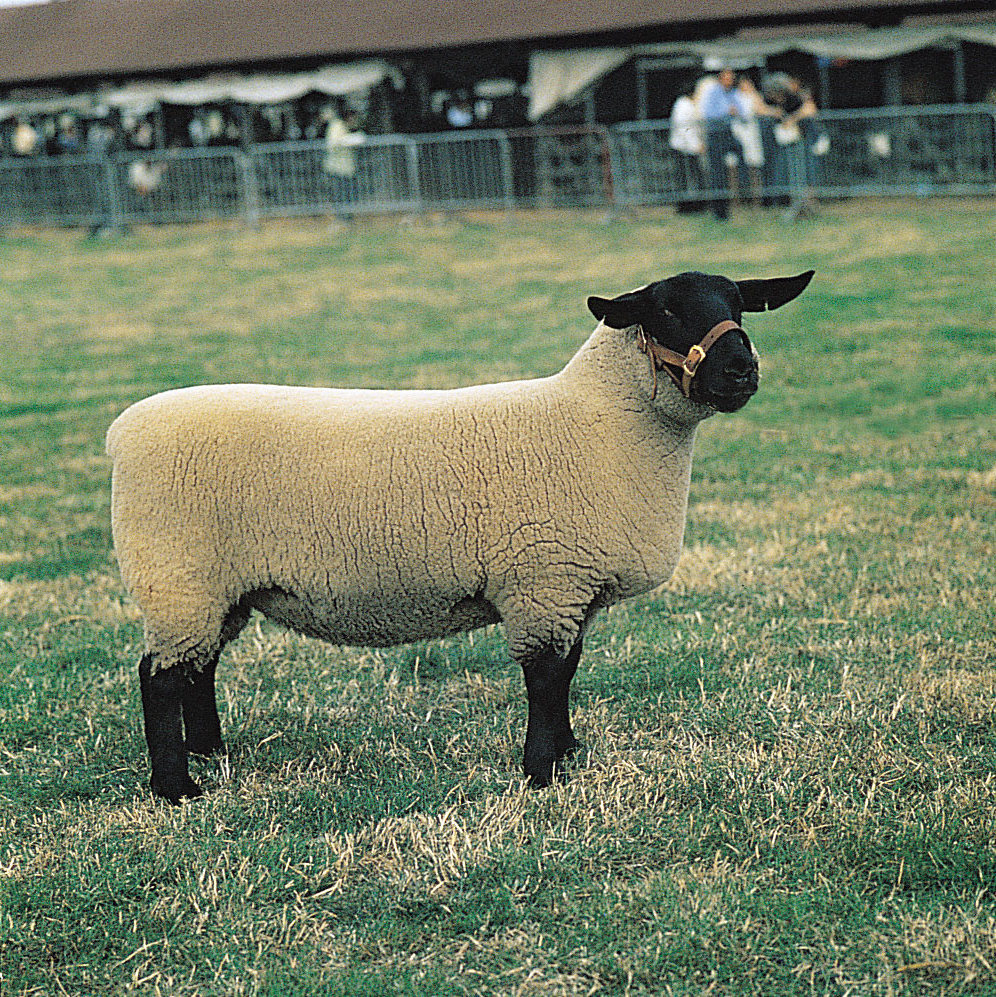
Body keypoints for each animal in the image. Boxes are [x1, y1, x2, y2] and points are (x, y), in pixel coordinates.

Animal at [105, 264, 812, 800]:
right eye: (665, 310)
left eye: (739, 307)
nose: (740, 368)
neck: (603, 423)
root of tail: (122, 432)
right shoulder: (543, 580)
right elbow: (546, 679)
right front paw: (540, 774)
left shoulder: (568, 587)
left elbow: (569, 671)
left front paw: (567, 752)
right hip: (176, 576)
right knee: (160, 678)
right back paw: (177, 788)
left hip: (214, 588)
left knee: (198, 669)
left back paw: (211, 754)